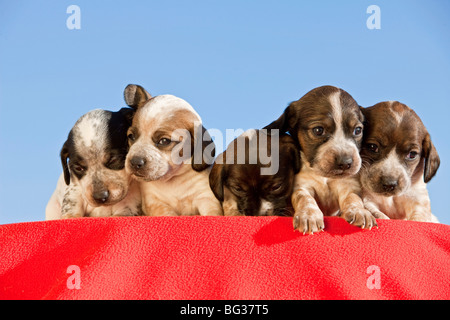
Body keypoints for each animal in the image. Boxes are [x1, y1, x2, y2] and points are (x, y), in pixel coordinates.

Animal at [124, 84, 222, 216]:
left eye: (164, 141)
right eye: (131, 136)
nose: (135, 162)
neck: (173, 181)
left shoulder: (206, 198)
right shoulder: (155, 203)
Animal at [266, 85, 374, 232]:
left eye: (357, 130)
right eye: (318, 130)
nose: (346, 163)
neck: (324, 177)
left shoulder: (348, 186)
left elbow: (353, 199)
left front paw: (359, 211)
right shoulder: (301, 186)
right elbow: (305, 199)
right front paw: (308, 215)